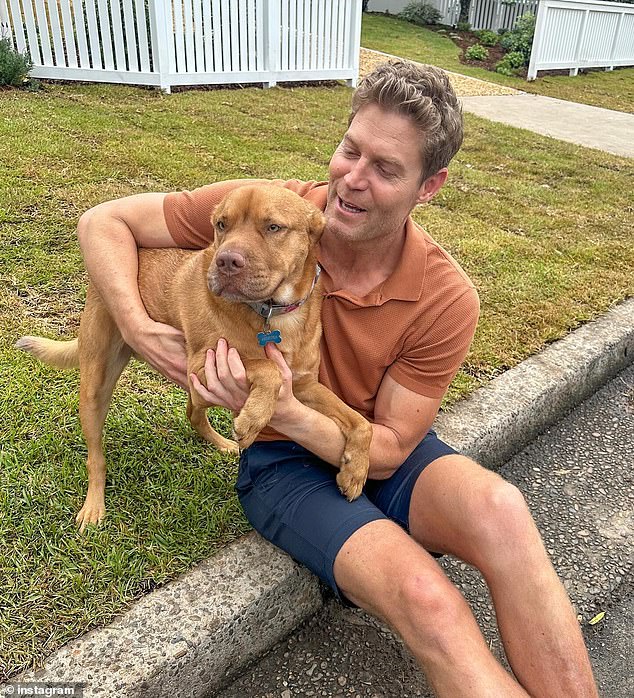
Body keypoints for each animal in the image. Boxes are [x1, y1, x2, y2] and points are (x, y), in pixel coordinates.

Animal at [17, 184, 372, 528]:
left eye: (273, 227)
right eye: (221, 225)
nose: (226, 262)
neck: (274, 313)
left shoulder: (302, 386)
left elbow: (360, 422)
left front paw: (355, 470)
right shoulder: (205, 361)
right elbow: (266, 366)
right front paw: (253, 419)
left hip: (198, 388)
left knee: (193, 413)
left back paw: (221, 443)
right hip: (96, 388)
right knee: (96, 457)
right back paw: (93, 507)